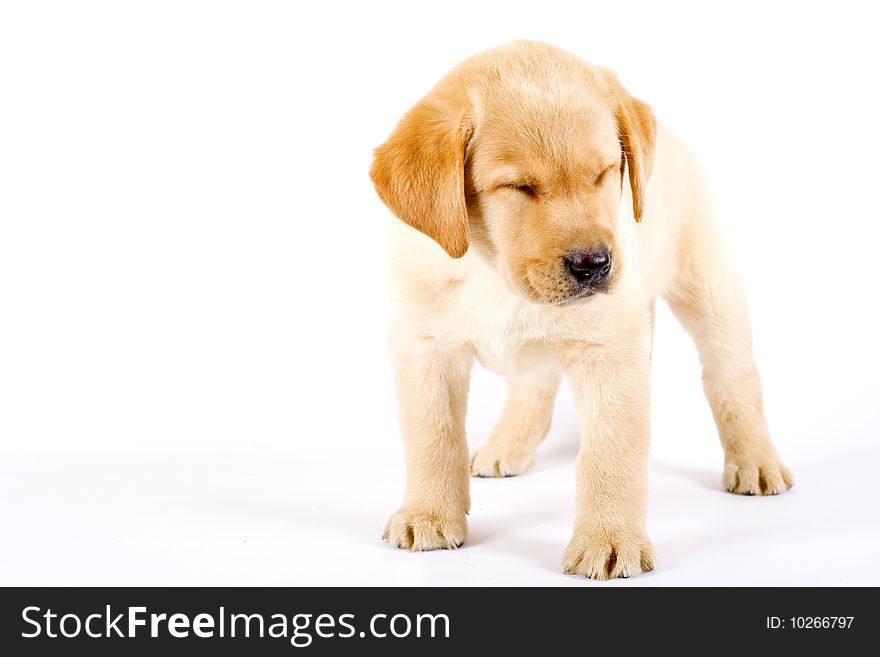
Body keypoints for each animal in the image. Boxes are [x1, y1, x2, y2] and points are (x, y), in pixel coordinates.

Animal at [368, 41, 796, 576]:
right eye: (519, 187)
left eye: (604, 173)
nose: (594, 265)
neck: (493, 272)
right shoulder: (423, 348)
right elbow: (432, 436)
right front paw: (426, 514)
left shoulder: (611, 354)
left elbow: (609, 454)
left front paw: (609, 540)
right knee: (534, 386)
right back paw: (508, 445)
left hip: (709, 287)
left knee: (734, 377)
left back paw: (755, 461)